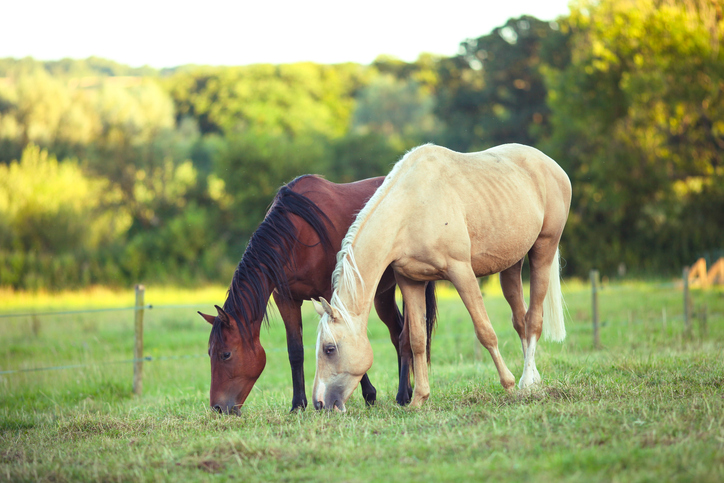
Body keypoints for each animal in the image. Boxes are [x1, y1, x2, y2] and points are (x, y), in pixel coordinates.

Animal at [198, 174, 436, 412]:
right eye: (209, 352)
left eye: (225, 354)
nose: (217, 407)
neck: (298, 235)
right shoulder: (287, 300)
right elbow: (295, 351)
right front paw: (298, 404)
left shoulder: (333, 295)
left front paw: (369, 394)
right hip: (380, 295)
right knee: (396, 332)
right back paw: (406, 390)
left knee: (405, 337)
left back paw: (403, 395)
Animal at [312, 144, 572, 412]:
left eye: (329, 349)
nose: (319, 403)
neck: (411, 209)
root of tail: (550, 164)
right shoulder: (410, 282)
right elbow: (417, 340)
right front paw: (418, 399)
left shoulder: (462, 272)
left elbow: (485, 331)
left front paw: (508, 385)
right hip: (511, 264)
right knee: (520, 320)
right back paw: (532, 381)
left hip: (544, 249)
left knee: (534, 321)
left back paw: (525, 382)